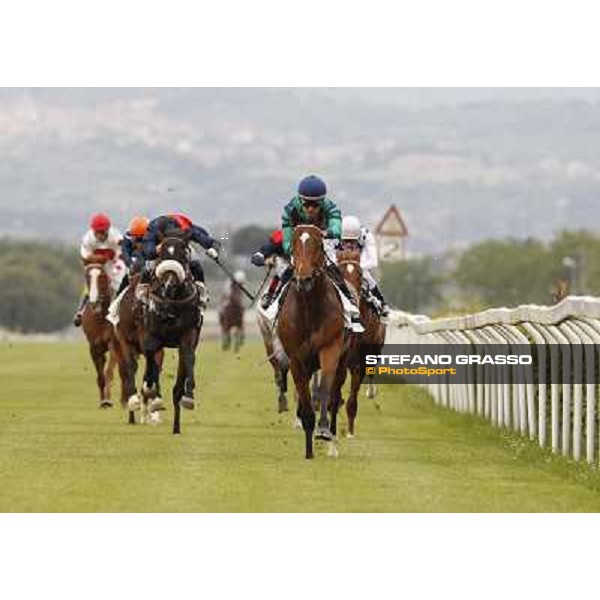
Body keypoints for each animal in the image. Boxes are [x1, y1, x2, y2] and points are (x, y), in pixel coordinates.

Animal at [82, 262, 119, 408]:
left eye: (102, 276)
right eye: (87, 277)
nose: (94, 302)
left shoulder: (114, 343)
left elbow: (109, 372)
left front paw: (108, 400)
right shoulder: (94, 347)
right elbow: (100, 376)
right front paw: (103, 401)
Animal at [278, 225, 346, 460]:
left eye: (317, 245)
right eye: (294, 245)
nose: (304, 279)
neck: (308, 309)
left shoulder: (330, 348)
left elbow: (324, 389)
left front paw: (323, 430)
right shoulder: (296, 358)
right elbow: (304, 398)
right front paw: (308, 450)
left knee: (335, 396)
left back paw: (333, 443)